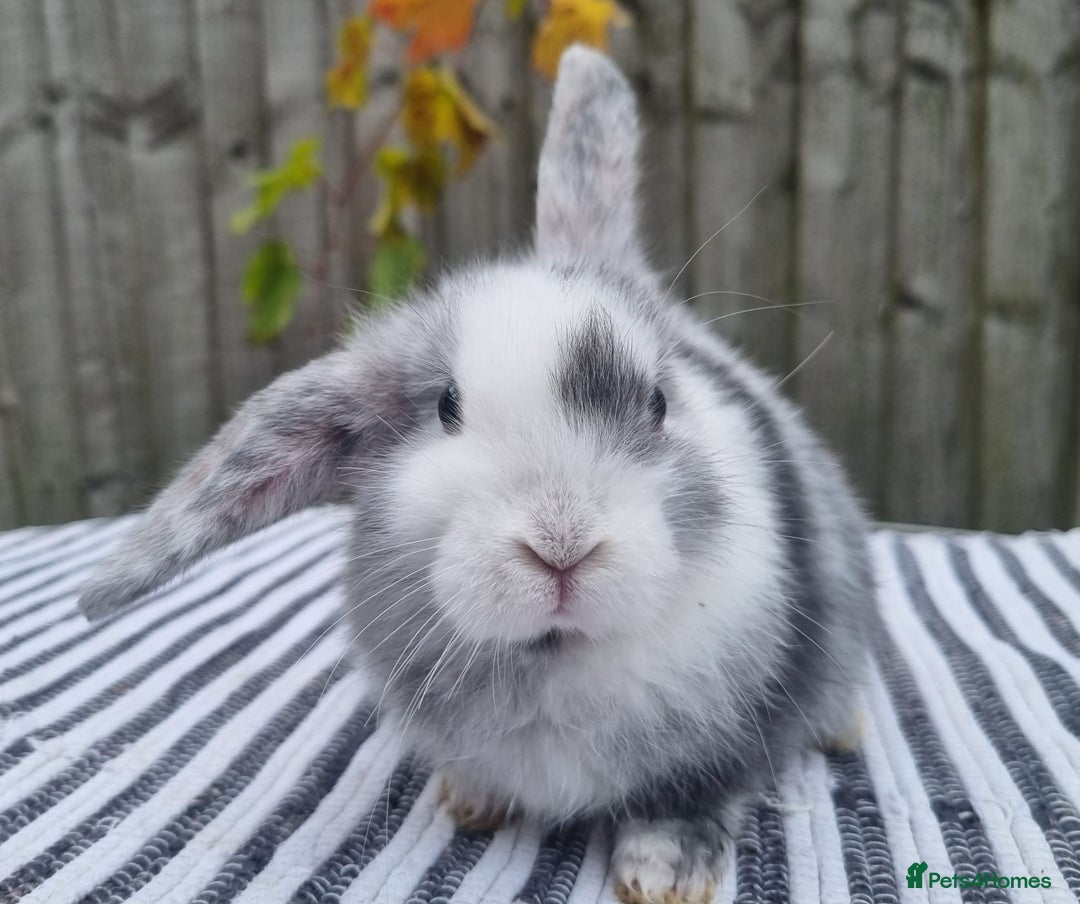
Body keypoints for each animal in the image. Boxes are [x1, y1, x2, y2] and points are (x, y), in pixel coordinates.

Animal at [79, 46, 874, 904]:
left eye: (659, 402)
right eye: (446, 407)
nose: (561, 548)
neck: (554, 656)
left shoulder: (732, 733)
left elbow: (690, 795)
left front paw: (666, 871)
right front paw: (473, 801)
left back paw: (842, 728)